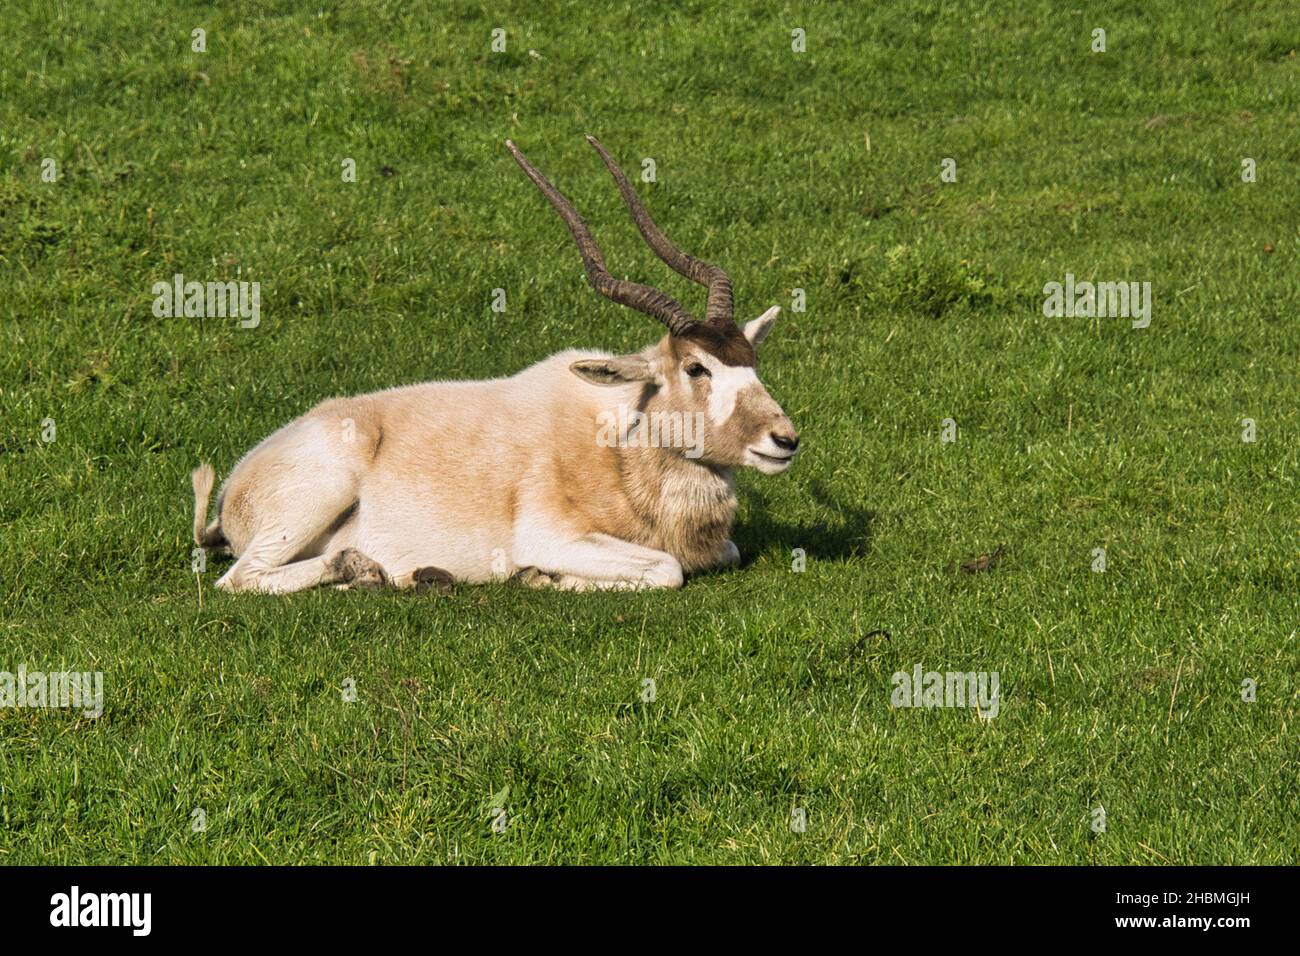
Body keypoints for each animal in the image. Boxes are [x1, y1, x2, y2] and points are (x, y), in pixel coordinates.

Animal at [190, 135, 800, 593]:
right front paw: (541, 576)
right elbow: (669, 568)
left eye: (752, 361)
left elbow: (728, 550)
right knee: (239, 579)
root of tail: (235, 490)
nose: (785, 439)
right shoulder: (553, 536)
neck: (620, 443)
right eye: (697, 368)